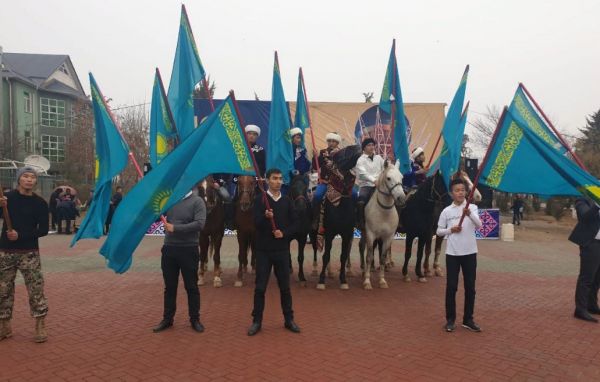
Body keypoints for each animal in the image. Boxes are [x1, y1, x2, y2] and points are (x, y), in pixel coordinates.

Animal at [364, 161, 406, 290]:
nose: (401, 198)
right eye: (388, 178)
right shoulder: (370, 234)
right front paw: (367, 281)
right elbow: (369, 257)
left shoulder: (388, 237)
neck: (383, 212)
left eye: (402, 177)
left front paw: (382, 281)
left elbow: (382, 258)